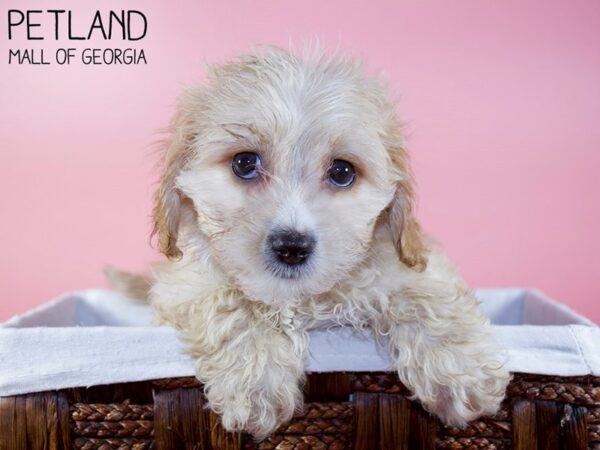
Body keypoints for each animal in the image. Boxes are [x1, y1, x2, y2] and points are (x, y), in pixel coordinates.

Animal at [148, 46, 508, 440]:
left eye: (342, 172)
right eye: (244, 163)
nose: (291, 247)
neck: (301, 302)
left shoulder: (412, 261)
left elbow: (426, 293)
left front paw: (463, 373)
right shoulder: (182, 284)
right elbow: (230, 302)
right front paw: (256, 384)